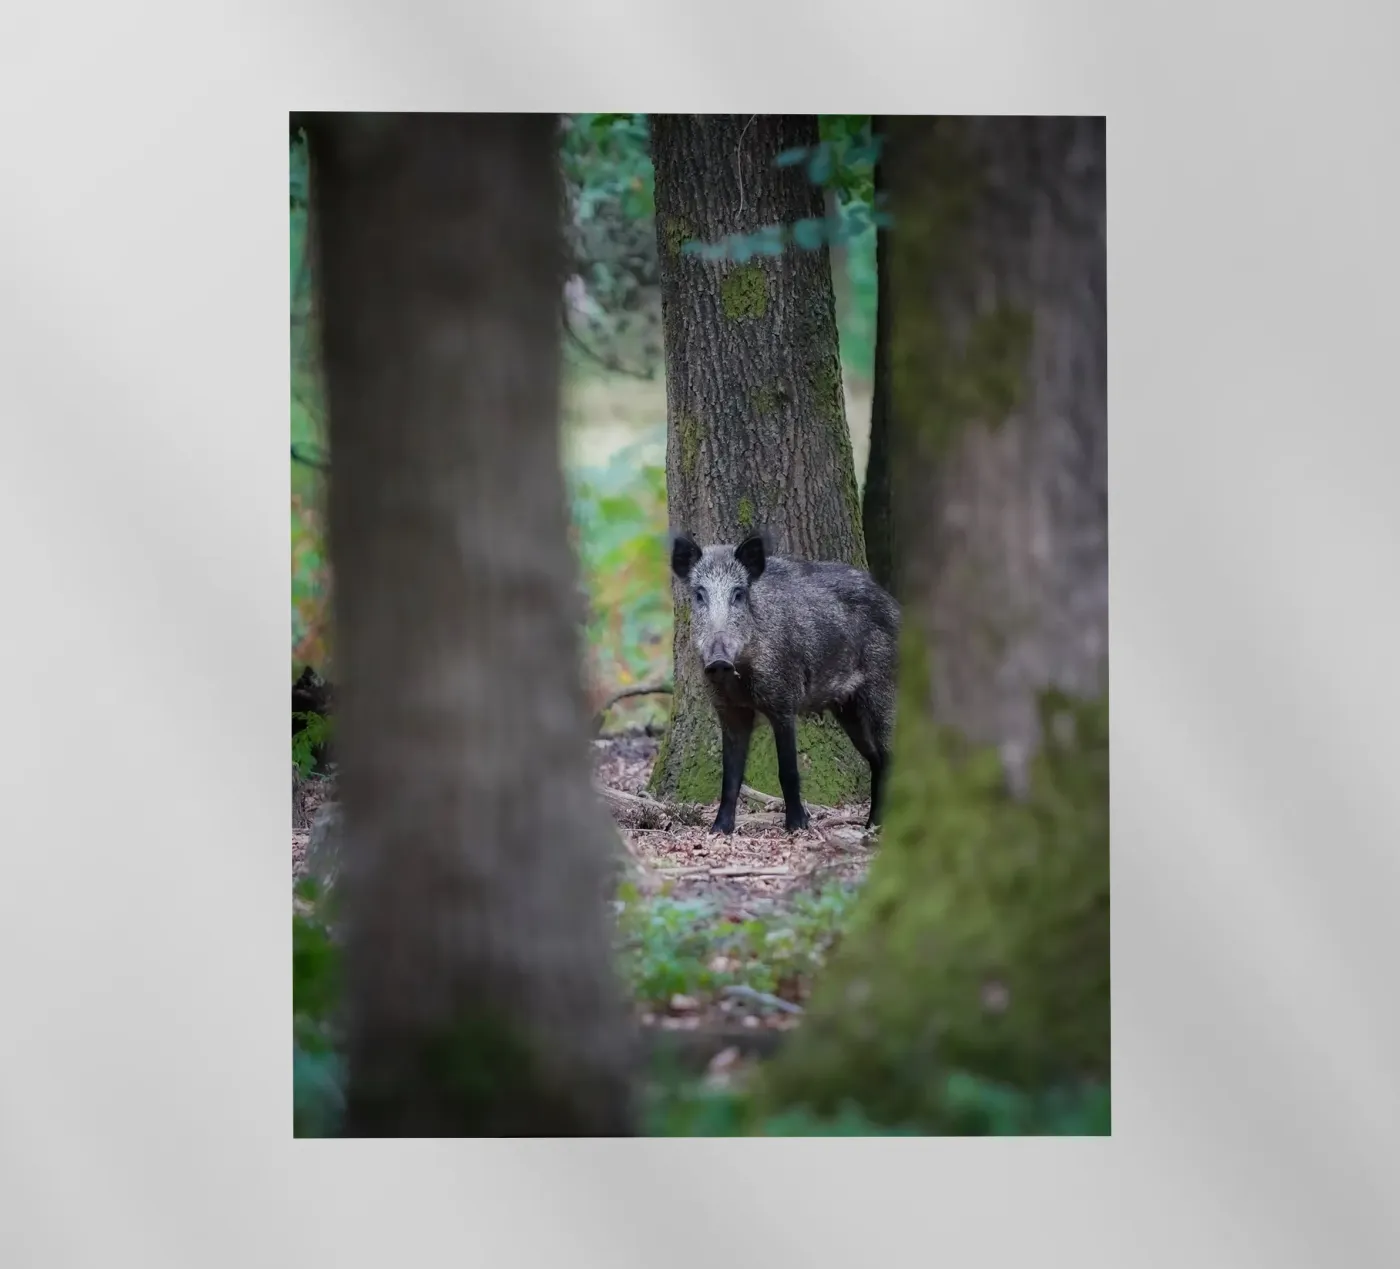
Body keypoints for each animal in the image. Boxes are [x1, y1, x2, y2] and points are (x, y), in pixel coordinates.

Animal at [669, 529, 900, 836]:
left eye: (739, 594)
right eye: (699, 595)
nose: (719, 661)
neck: (742, 677)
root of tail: (894, 605)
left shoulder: (784, 701)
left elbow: (788, 769)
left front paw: (797, 827)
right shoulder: (729, 712)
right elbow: (730, 775)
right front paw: (719, 829)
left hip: (882, 690)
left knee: (889, 756)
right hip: (847, 708)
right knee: (875, 760)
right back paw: (871, 826)